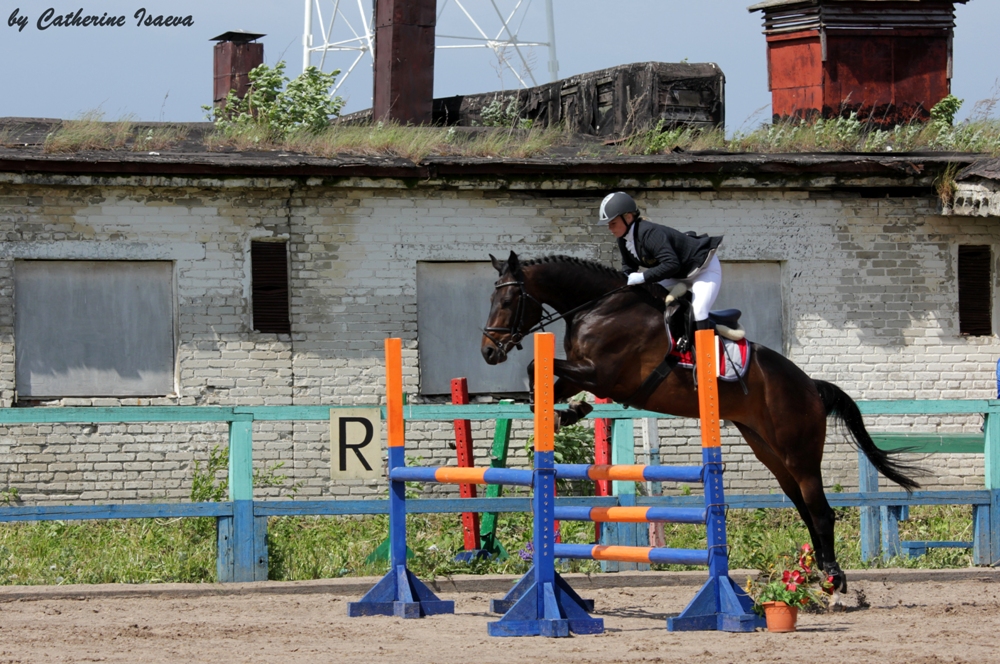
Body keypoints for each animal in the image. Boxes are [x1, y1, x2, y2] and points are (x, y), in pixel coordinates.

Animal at [480, 251, 922, 595]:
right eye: (492, 296)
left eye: (509, 299)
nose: (488, 351)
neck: (598, 308)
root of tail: (811, 385)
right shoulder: (583, 373)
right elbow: (544, 375)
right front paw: (566, 412)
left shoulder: (603, 375)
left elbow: (537, 365)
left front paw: (565, 411)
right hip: (768, 450)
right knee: (803, 506)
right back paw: (812, 573)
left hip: (799, 451)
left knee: (821, 510)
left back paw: (833, 577)